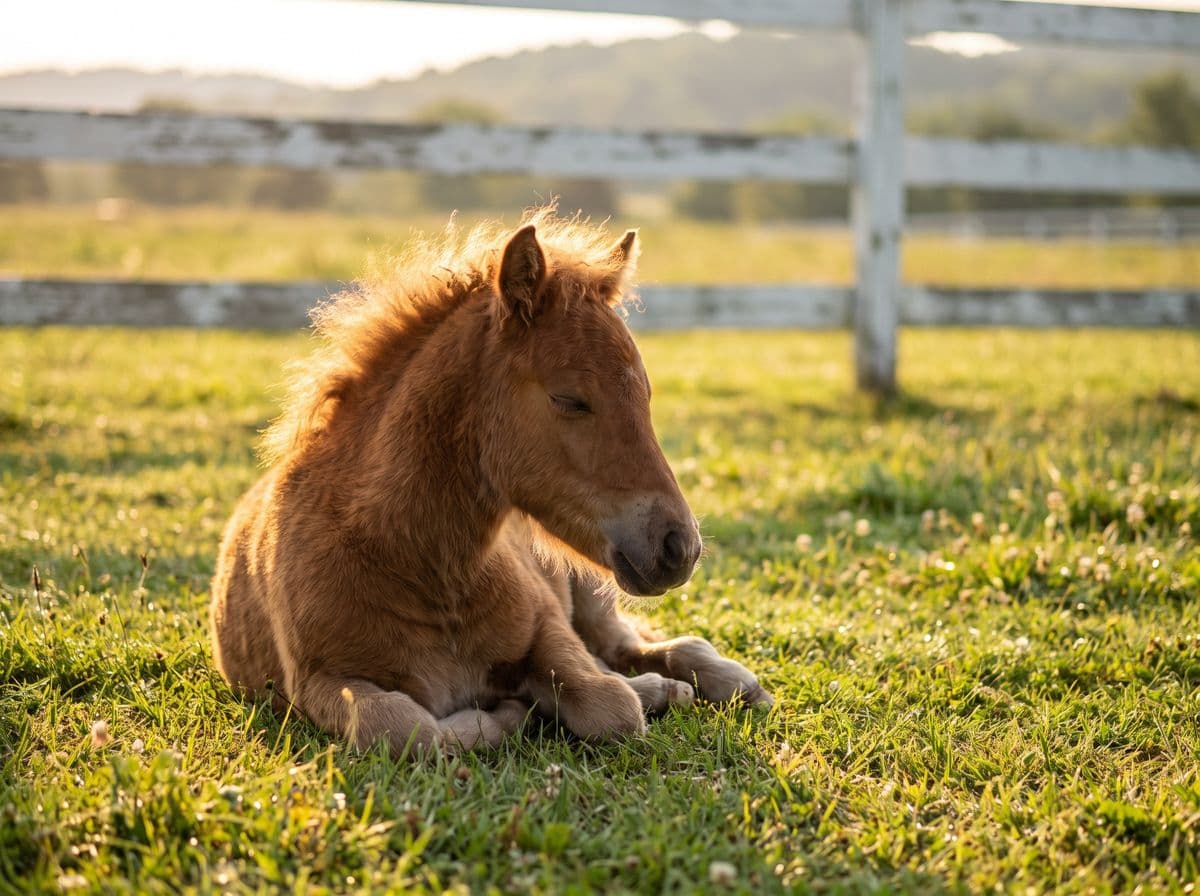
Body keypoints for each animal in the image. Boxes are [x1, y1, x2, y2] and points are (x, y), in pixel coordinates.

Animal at [209, 211, 771, 754]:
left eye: (647, 396)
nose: (680, 546)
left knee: (636, 647)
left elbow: (610, 707)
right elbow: (404, 729)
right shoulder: (318, 680)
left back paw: (720, 682)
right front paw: (507, 714)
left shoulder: (548, 625)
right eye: (570, 399)